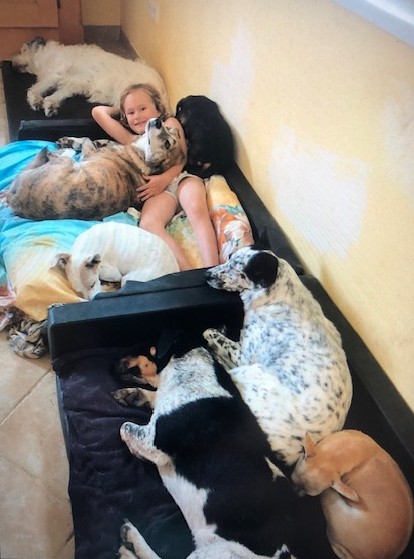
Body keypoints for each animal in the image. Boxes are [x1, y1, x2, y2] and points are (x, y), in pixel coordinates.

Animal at [7, 118, 184, 220]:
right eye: (169, 127)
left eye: (168, 144)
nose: (159, 120)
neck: (142, 155)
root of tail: (12, 198)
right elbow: (98, 140)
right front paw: (74, 141)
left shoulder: (89, 154)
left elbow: (86, 139)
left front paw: (72, 143)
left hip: (63, 163)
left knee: (62, 156)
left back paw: (59, 152)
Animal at [12, 37, 170, 116]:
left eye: (22, 50)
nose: (12, 63)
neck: (47, 56)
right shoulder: (72, 84)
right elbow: (55, 95)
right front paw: (48, 105)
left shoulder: (54, 76)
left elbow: (33, 89)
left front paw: (37, 101)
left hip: (125, 90)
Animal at [117, 346, 312, 559]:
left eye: (147, 346)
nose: (113, 364)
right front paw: (133, 395)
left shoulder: (153, 442)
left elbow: (124, 427)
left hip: (216, 553)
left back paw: (131, 542)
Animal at [203, 246, 353, 466]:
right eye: (229, 258)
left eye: (240, 272)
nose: (206, 275)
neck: (277, 296)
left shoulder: (243, 355)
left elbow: (209, 332)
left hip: (248, 372)